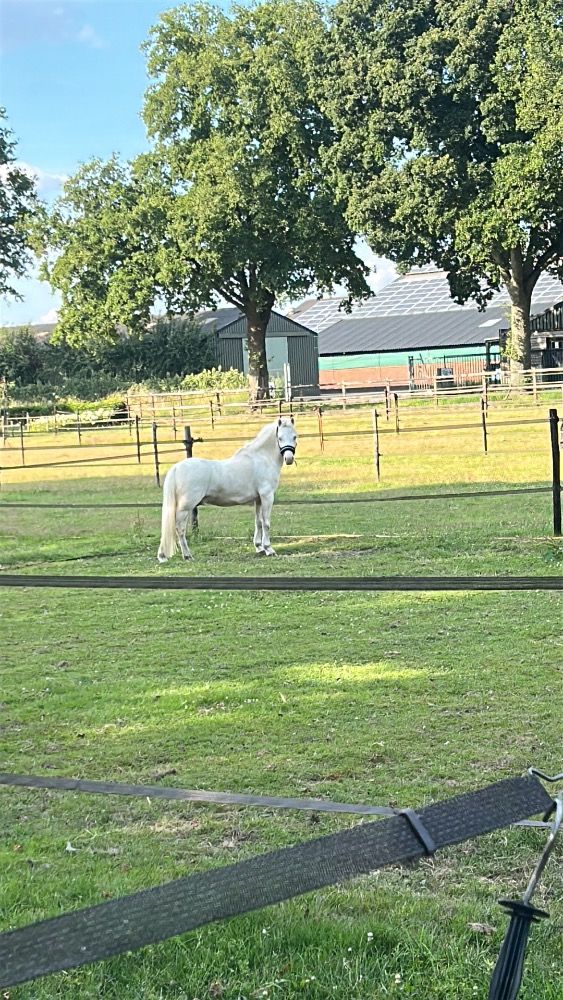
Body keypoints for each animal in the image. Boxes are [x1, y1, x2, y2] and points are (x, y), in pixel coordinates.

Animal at [157, 417, 298, 562]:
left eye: (294, 436)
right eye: (280, 438)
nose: (289, 459)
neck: (261, 458)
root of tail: (176, 467)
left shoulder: (258, 499)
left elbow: (258, 522)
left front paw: (259, 547)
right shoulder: (267, 496)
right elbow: (266, 523)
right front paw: (269, 549)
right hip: (185, 507)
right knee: (180, 528)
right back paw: (187, 556)